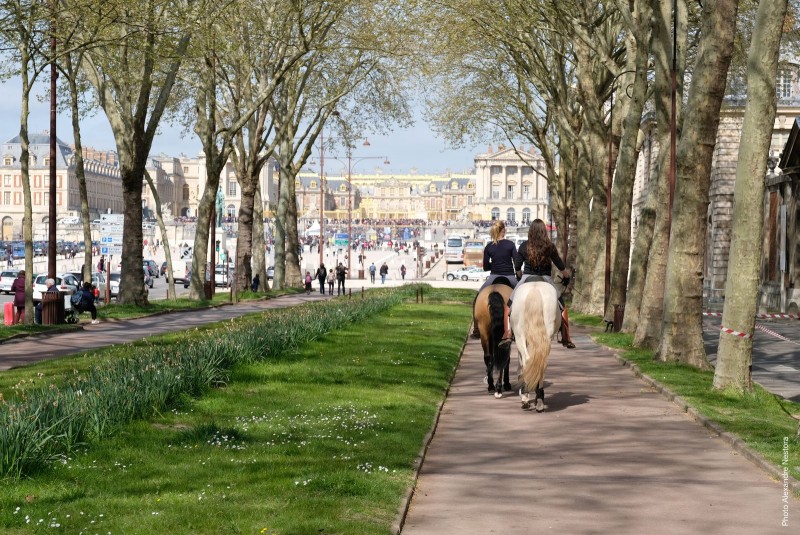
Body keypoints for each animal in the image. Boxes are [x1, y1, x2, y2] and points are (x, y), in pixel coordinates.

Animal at [510, 282, 560, 412]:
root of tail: (535, 288)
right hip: (547, 337)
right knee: (541, 362)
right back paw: (539, 401)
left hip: (519, 336)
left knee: (526, 360)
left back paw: (526, 397)